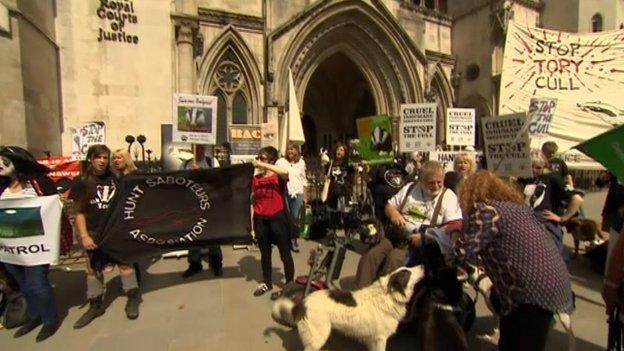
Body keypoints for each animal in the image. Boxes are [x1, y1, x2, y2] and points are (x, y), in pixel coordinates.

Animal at [272, 266, 424, 351]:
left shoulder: (373, 340)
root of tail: (302, 302)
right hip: (318, 337)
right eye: (408, 272)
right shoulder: (380, 339)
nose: (423, 265)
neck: (389, 295)